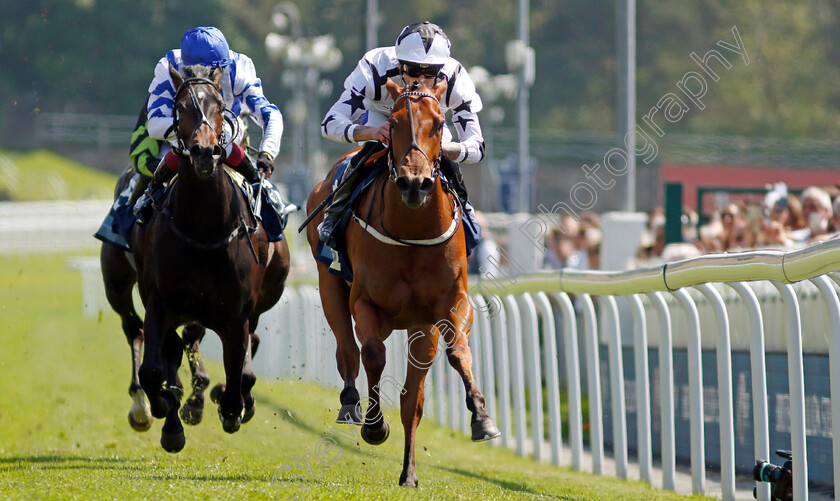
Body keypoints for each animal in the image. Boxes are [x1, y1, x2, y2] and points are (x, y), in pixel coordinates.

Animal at [97, 61, 288, 450]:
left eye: (220, 105)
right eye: (181, 106)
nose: (204, 152)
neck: (204, 230)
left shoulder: (237, 313)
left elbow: (239, 371)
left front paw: (229, 406)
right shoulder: (160, 301)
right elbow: (154, 368)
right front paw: (167, 408)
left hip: (265, 292)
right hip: (118, 283)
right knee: (135, 330)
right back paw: (147, 407)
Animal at [304, 80, 496, 486]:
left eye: (440, 124)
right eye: (392, 124)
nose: (414, 183)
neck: (411, 232)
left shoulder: (449, 306)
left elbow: (457, 355)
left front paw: (481, 417)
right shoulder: (365, 303)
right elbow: (373, 354)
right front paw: (375, 426)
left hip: (419, 328)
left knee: (412, 401)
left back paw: (408, 472)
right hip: (329, 284)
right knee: (347, 350)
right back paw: (351, 405)